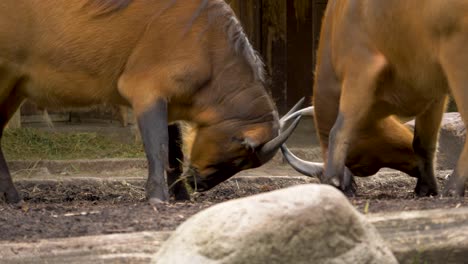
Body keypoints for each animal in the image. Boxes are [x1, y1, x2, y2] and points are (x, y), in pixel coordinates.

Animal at [0, 0, 300, 204]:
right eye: (239, 156)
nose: (199, 185)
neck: (207, 44)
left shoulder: (171, 104)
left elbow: (175, 150)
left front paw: (179, 195)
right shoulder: (147, 92)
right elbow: (158, 146)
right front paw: (157, 197)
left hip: (15, 88)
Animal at [282, 0, 468, 197]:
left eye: (358, 165)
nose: (416, 169)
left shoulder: (360, 68)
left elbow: (339, 130)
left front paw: (332, 181)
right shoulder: (434, 93)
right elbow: (423, 143)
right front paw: (426, 188)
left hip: (457, 61)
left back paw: (452, 188)